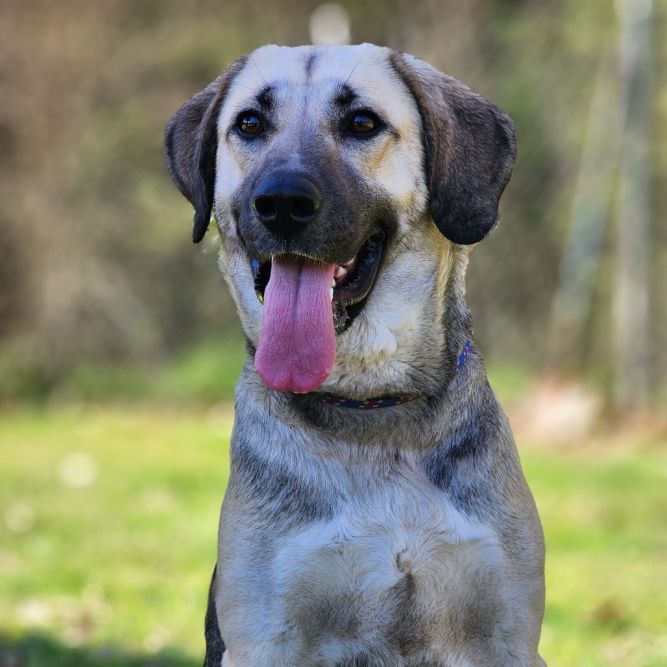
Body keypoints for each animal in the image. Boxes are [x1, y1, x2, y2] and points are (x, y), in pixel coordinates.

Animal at [164, 43, 544, 667]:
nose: (282, 204)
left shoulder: (502, 638)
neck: (371, 411)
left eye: (362, 123)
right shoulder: (265, 639)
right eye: (249, 123)